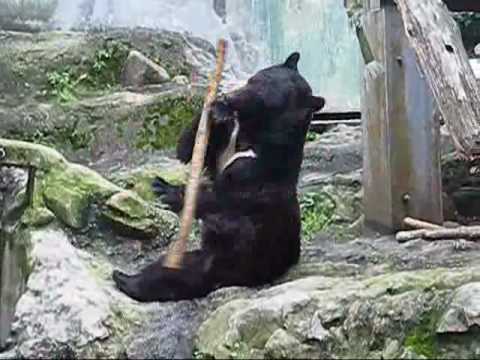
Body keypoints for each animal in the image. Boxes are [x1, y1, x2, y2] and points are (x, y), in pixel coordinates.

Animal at [113, 52, 326, 302]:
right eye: (253, 80)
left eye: (265, 98)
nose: (232, 97)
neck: (251, 135)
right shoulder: (227, 141)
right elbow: (189, 148)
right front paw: (216, 108)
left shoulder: (260, 169)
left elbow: (224, 198)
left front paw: (165, 189)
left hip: (233, 261)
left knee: (181, 276)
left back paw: (127, 280)